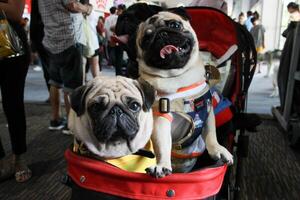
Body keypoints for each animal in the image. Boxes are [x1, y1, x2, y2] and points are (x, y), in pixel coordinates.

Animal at [136, 10, 234, 177]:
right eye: (146, 39)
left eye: (175, 25)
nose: (161, 34)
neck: (179, 77)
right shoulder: (161, 118)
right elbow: (163, 144)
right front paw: (162, 164)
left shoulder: (208, 111)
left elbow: (211, 135)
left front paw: (218, 150)